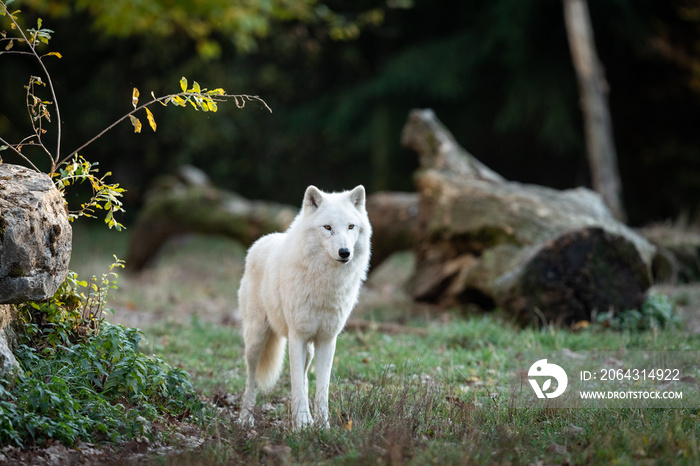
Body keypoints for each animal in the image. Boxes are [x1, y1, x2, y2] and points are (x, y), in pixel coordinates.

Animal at [238, 185, 372, 430]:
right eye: (327, 227)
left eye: (351, 226)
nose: (345, 252)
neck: (326, 282)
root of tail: (261, 240)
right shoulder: (297, 336)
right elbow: (296, 385)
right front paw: (300, 426)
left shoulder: (327, 339)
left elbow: (321, 389)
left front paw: (322, 427)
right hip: (256, 339)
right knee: (252, 379)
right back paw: (245, 419)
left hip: (308, 349)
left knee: (305, 377)